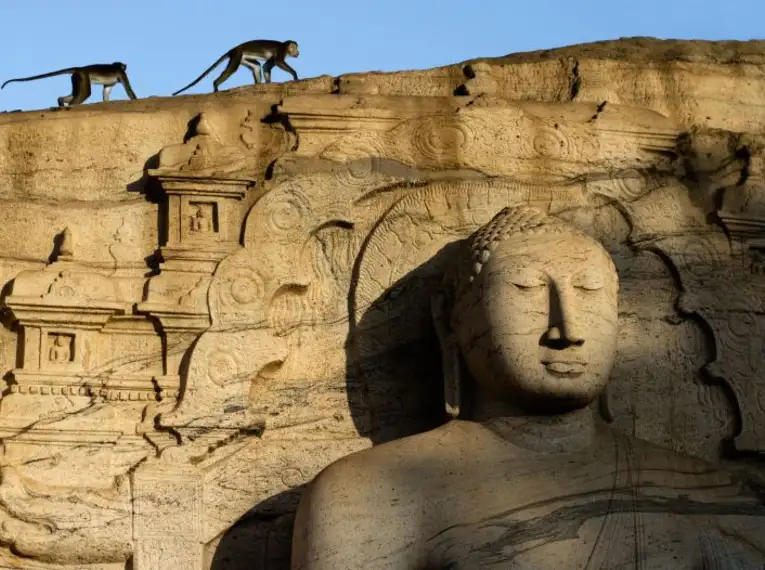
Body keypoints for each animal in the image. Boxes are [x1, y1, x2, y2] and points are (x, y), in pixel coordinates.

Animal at [1, 62, 137, 107]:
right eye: (124, 67)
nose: (126, 67)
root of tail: (80, 68)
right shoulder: (121, 74)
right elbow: (129, 90)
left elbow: (106, 93)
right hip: (83, 77)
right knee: (85, 93)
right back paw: (70, 105)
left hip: (76, 78)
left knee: (75, 93)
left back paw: (61, 101)